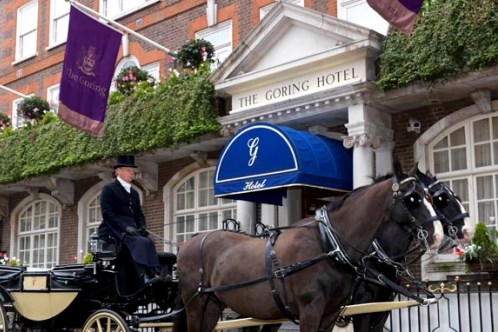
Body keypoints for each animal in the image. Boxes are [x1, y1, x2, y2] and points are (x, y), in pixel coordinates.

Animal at [172, 163, 444, 332]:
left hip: (213, 305)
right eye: (412, 198)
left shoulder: (333, 314)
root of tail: (190, 243)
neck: (328, 246)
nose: (439, 235)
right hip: (195, 304)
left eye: (433, 198)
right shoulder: (313, 310)